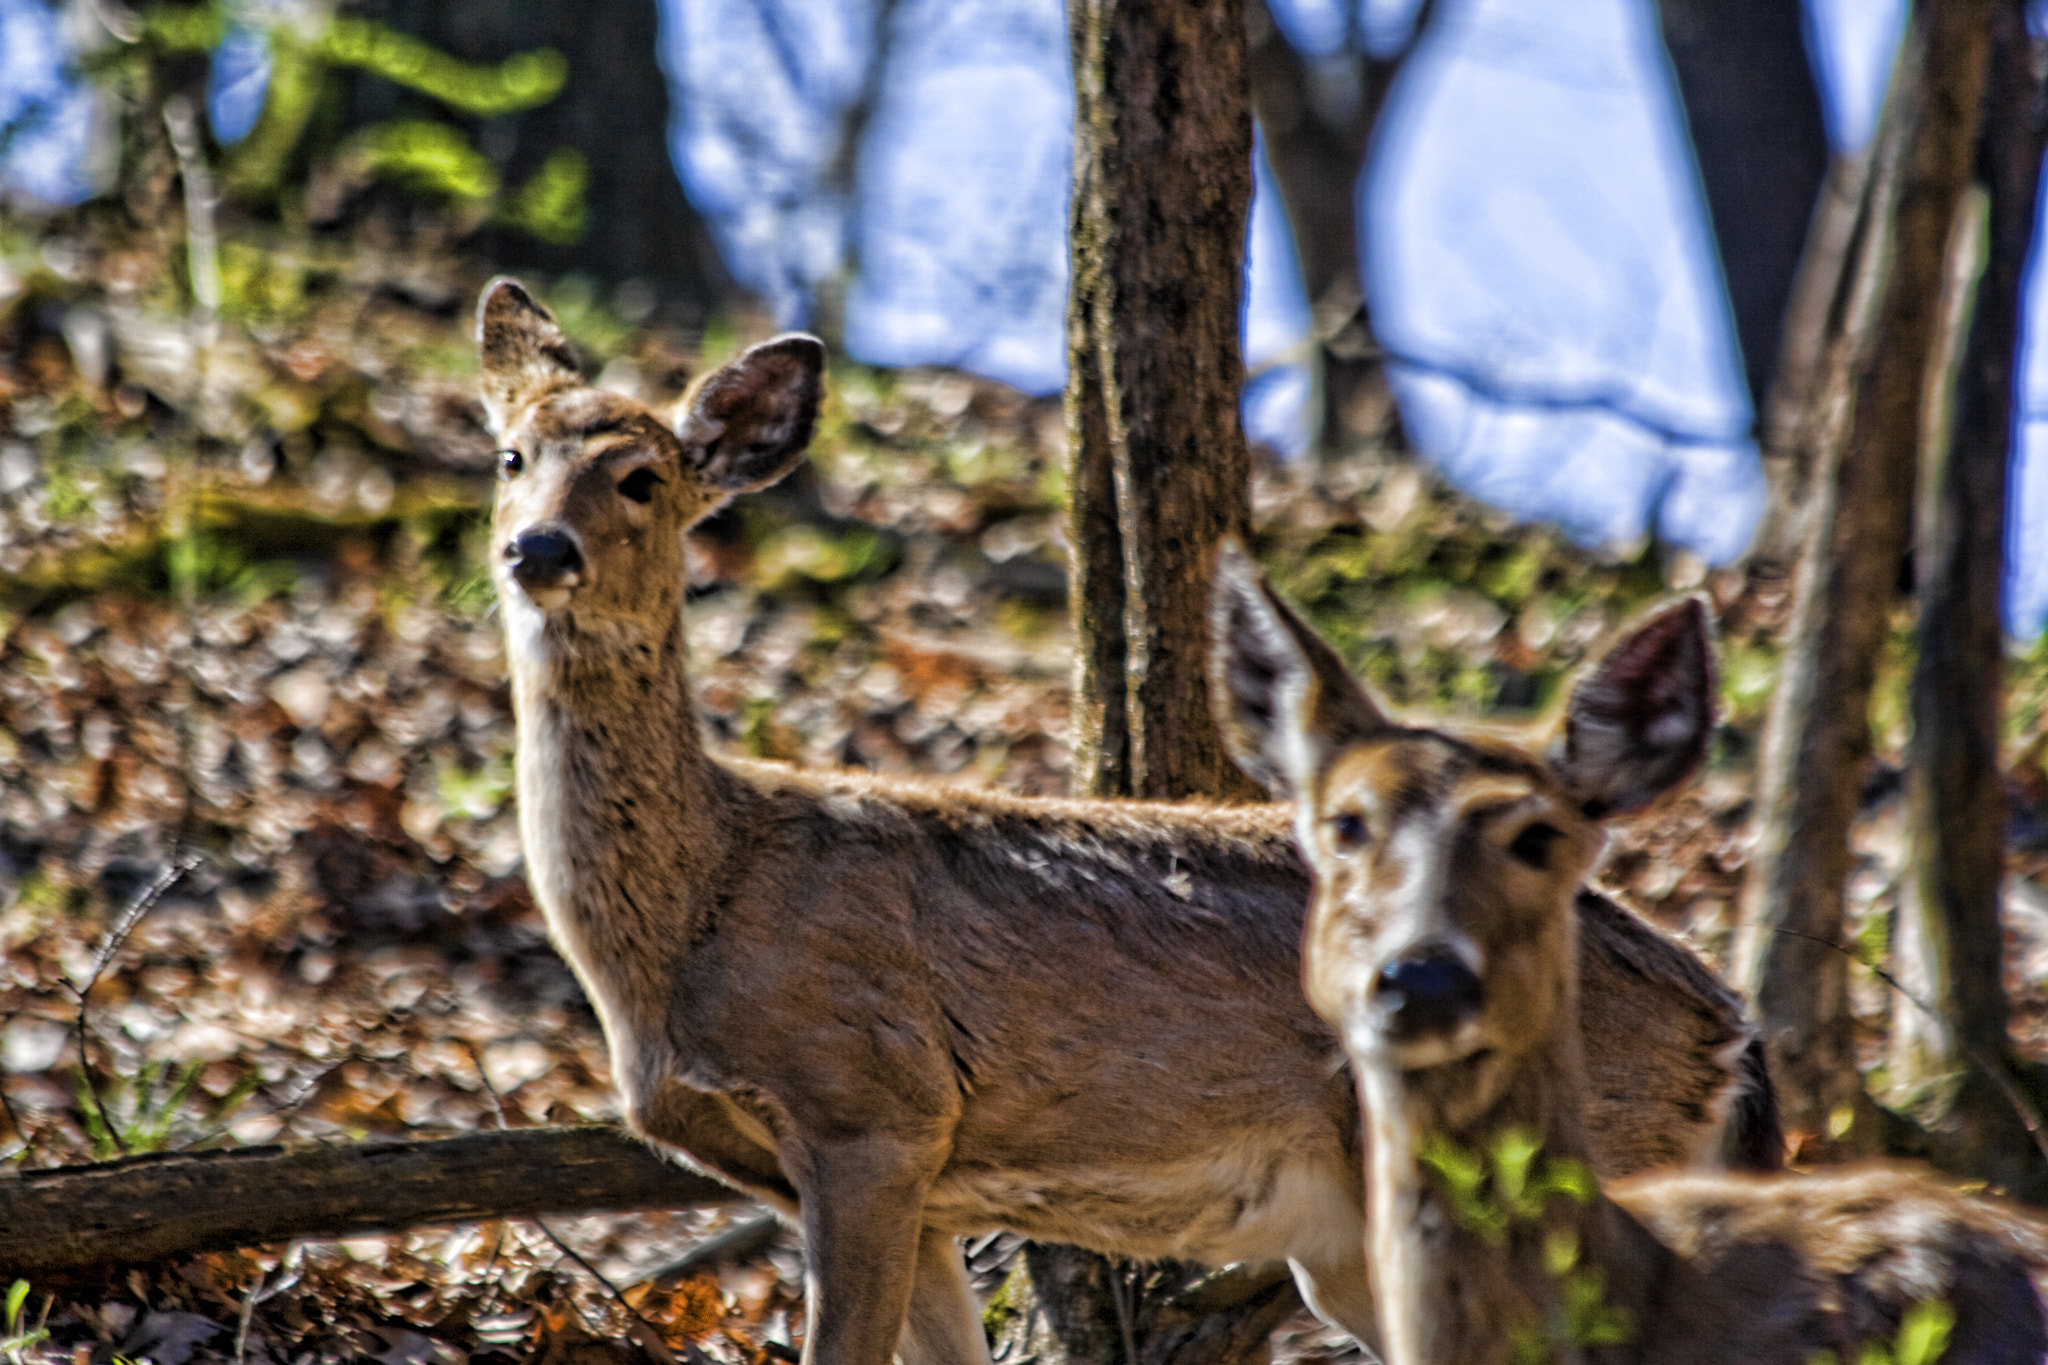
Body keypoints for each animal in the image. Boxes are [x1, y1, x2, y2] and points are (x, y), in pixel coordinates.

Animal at [478, 276, 1779, 1365]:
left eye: (643, 478)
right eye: (510, 454)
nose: (536, 546)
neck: (701, 903)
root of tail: (1731, 1026)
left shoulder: (873, 1107)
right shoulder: (917, 1187)